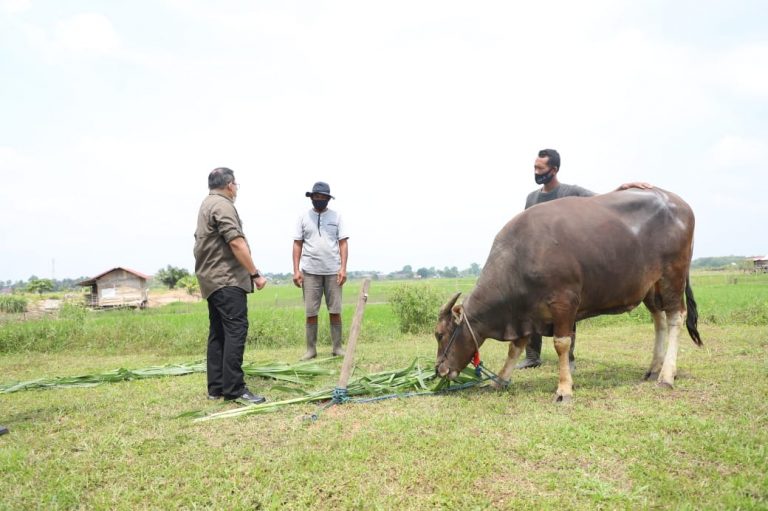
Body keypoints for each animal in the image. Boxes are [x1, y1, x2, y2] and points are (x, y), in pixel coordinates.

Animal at [432, 186, 704, 402]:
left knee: (675, 318)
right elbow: (515, 348)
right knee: (659, 321)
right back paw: (653, 368)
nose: (439, 370)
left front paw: (564, 388)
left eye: (440, 334)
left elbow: (562, 344)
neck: (521, 256)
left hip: (673, 277)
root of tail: (680, 203)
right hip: (650, 287)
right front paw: (500, 380)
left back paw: (666, 375)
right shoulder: (526, 314)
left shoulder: (563, 303)